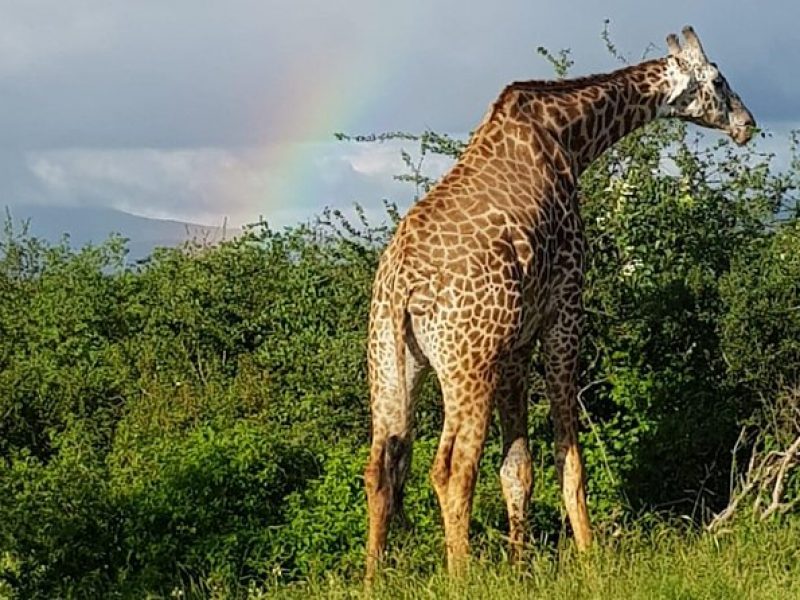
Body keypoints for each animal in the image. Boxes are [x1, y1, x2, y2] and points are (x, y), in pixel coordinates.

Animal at [366, 25, 752, 580]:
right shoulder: (566, 305)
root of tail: (402, 288)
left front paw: (520, 566)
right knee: (451, 468)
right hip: (467, 363)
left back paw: (371, 579)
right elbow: (570, 454)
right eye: (719, 80)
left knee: (383, 466)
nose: (748, 124)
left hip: (391, 363)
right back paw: (462, 576)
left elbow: (517, 466)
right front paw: (590, 557)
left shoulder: (516, 343)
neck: (569, 136)